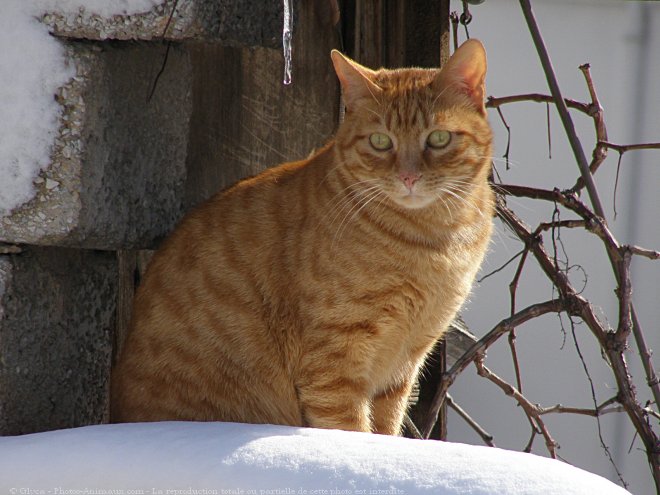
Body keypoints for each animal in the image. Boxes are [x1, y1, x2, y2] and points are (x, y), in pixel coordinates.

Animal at [111, 39, 492, 434]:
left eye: (438, 138)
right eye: (380, 142)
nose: (409, 177)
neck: (434, 238)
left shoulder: (402, 366)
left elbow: (386, 431)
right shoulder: (335, 366)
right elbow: (351, 430)